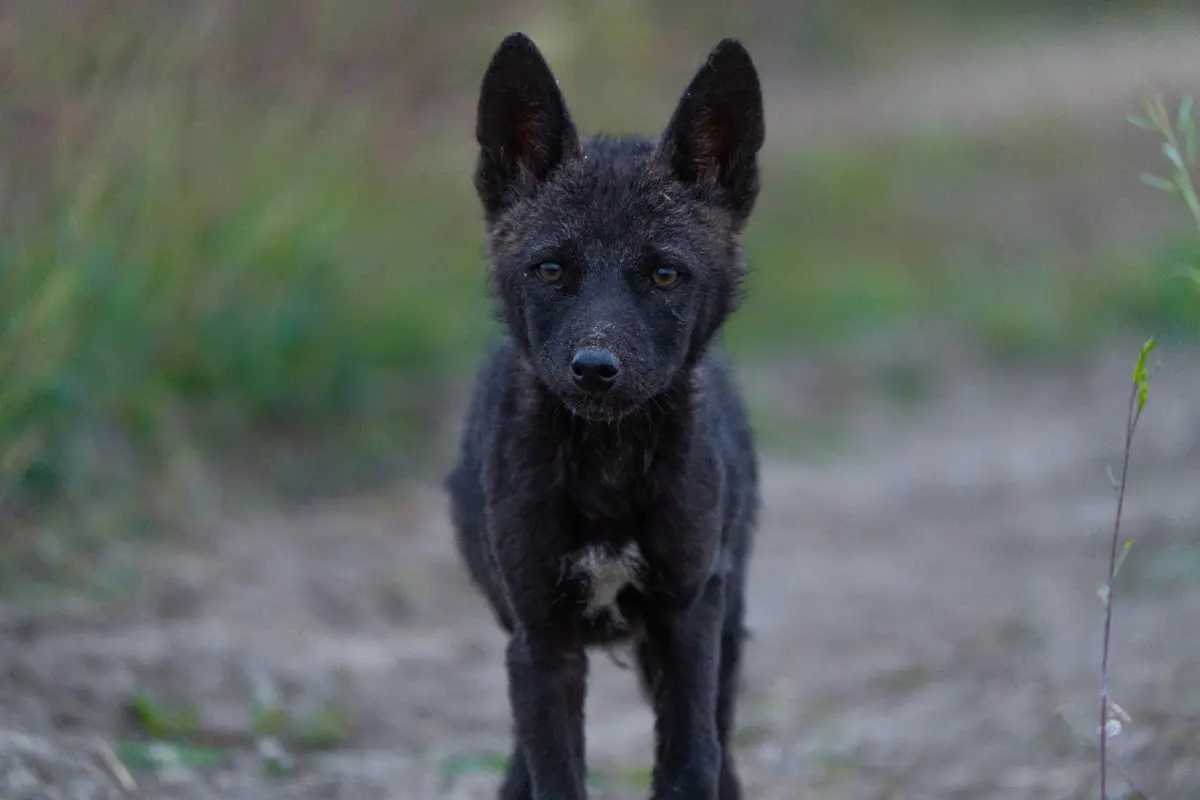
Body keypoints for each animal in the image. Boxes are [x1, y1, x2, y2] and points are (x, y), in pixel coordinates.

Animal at [444, 31, 764, 800]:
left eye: (665, 274)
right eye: (551, 269)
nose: (594, 367)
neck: (608, 465)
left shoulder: (687, 624)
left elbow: (691, 768)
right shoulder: (541, 642)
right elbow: (556, 774)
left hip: (727, 619)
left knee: (724, 749)